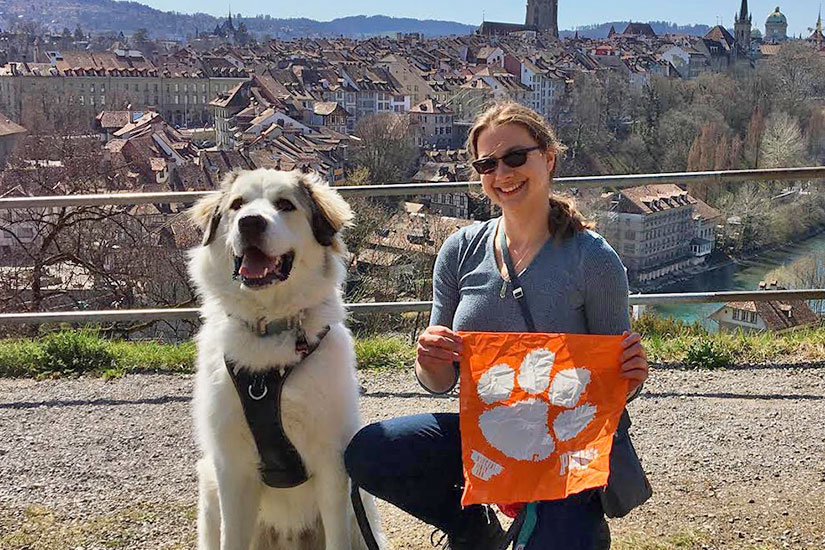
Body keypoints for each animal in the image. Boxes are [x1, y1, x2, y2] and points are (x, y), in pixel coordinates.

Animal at [188, 169, 384, 550]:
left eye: (285, 205)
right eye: (237, 205)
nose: (250, 222)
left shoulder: (331, 465)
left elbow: (337, 538)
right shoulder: (231, 469)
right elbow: (231, 539)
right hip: (209, 489)